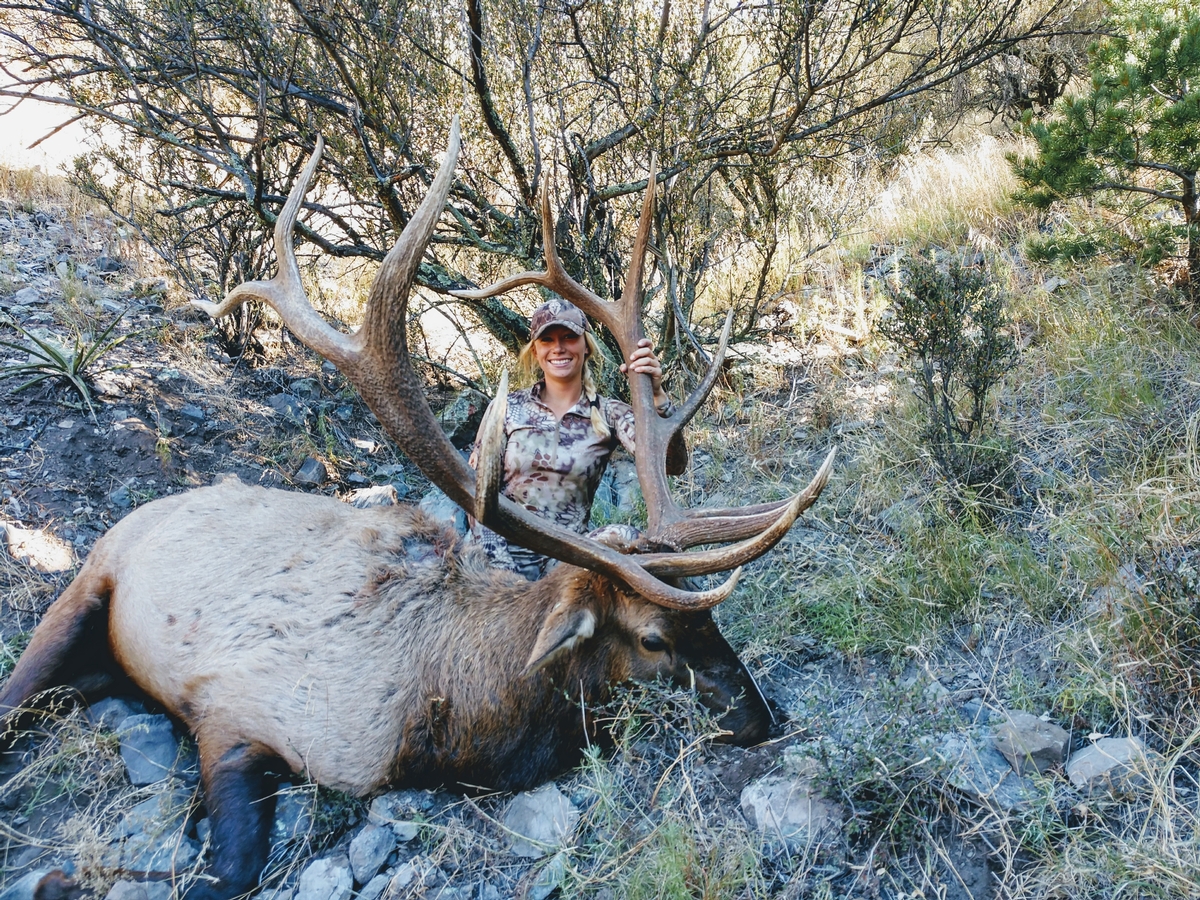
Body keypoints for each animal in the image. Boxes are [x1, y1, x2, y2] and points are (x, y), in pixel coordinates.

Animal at [0, 120, 835, 900]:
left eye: (711, 615)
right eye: (655, 639)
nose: (763, 717)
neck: (453, 718)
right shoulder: (236, 711)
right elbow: (229, 867)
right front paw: (61, 876)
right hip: (88, 587)